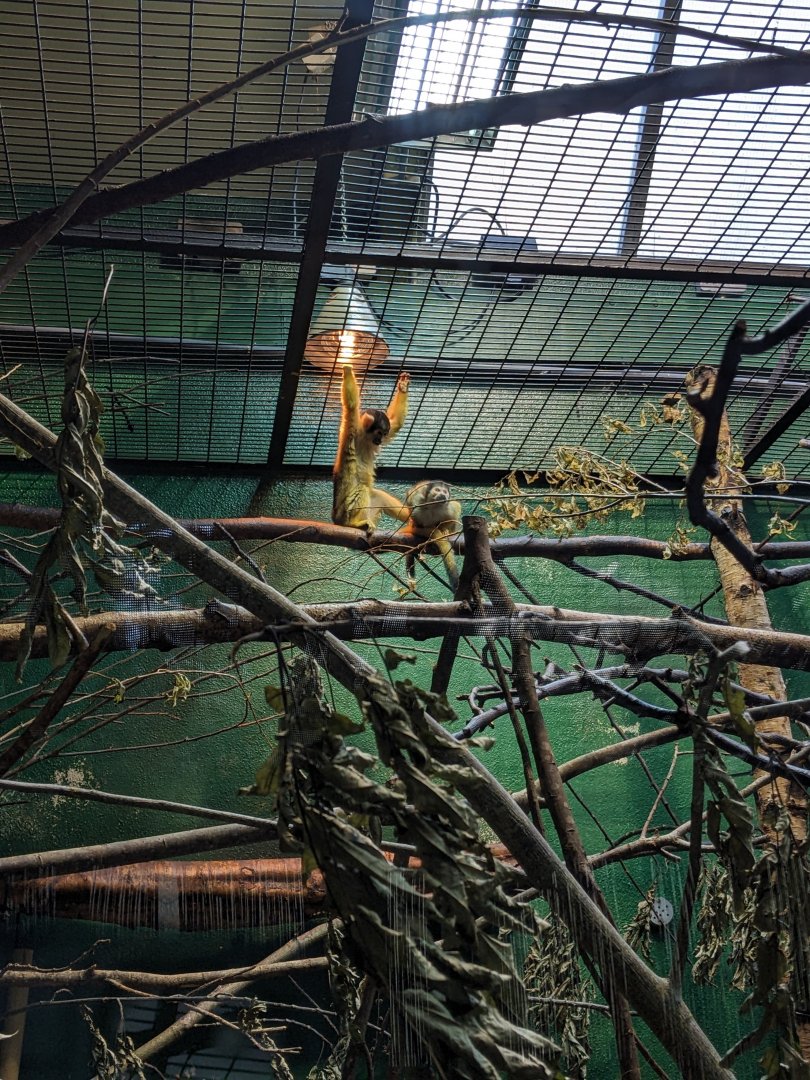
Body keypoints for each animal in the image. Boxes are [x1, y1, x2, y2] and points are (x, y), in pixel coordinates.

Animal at [332, 364, 411, 531]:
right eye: (379, 433)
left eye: (384, 434)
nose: (380, 440)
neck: (365, 437)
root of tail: (334, 519)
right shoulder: (353, 428)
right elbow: (351, 406)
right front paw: (347, 369)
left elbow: (396, 423)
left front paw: (403, 386)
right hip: (343, 512)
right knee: (362, 489)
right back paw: (352, 524)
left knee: (377, 494)